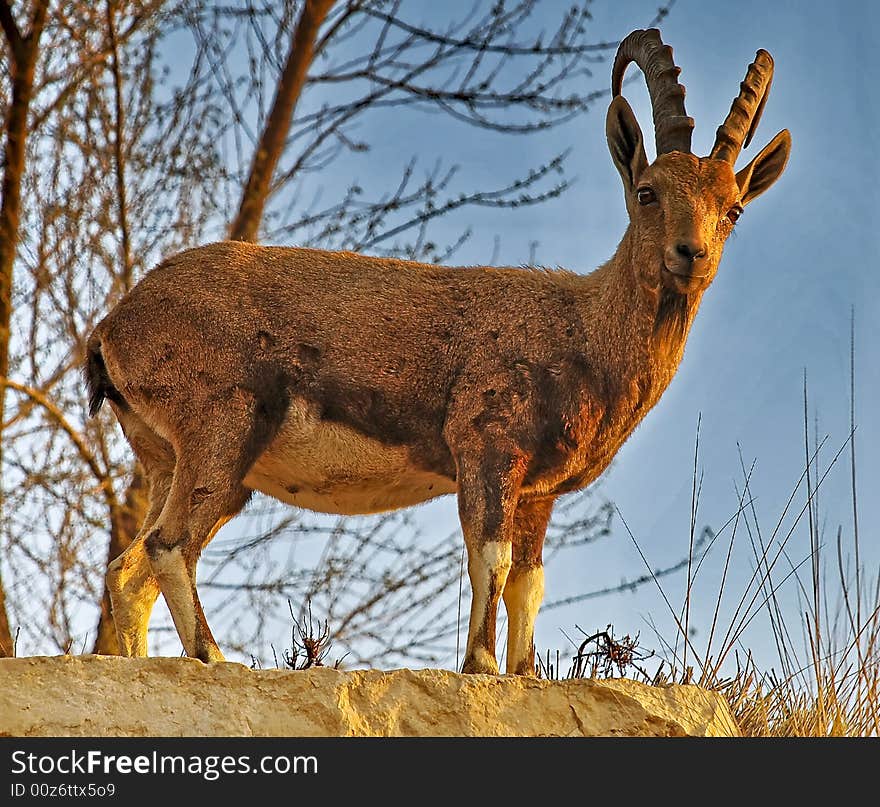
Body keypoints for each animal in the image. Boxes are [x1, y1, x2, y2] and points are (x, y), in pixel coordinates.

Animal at [87, 30, 792, 676]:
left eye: (732, 209)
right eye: (648, 192)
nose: (690, 254)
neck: (584, 333)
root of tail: (114, 326)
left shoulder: (539, 492)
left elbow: (529, 583)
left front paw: (524, 674)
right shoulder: (487, 444)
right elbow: (491, 559)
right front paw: (479, 665)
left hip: (168, 459)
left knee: (128, 570)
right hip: (224, 429)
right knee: (170, 547)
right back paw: (215, 658)